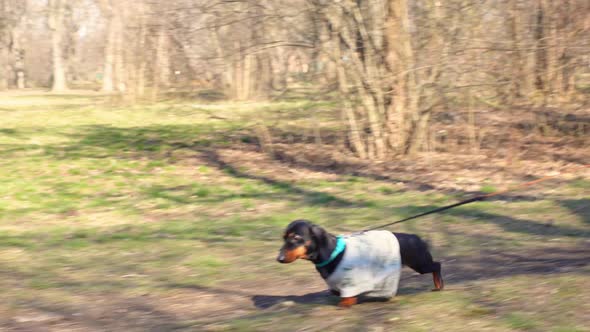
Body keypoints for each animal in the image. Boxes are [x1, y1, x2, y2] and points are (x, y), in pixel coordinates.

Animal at [278, 219, 444, 308]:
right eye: (284, 237)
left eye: (296, 237)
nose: (279, 258)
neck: (333, 251)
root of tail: (417, 237)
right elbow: (335, 291)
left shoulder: (351, 282)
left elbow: (348, 297)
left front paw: (347, 302)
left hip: (420, 264)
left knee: (437, 265)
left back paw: (438, 285)